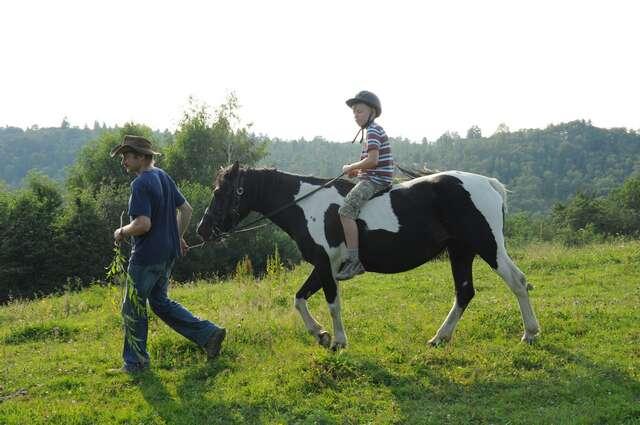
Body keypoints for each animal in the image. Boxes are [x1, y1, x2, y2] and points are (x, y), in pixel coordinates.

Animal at [195, 161, 540, 350]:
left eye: (220, 192)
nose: (201, 230)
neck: (305, 206)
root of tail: (487, 184)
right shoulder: (322, 266)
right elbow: (299, 299)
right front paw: (320, 334)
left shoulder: (326, 265)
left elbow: (332, 304)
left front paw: (337, 341)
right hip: (461, 251)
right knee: (465, 292)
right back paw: (440, 338)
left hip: (487, 245)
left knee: (518, 282)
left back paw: (530, 333)